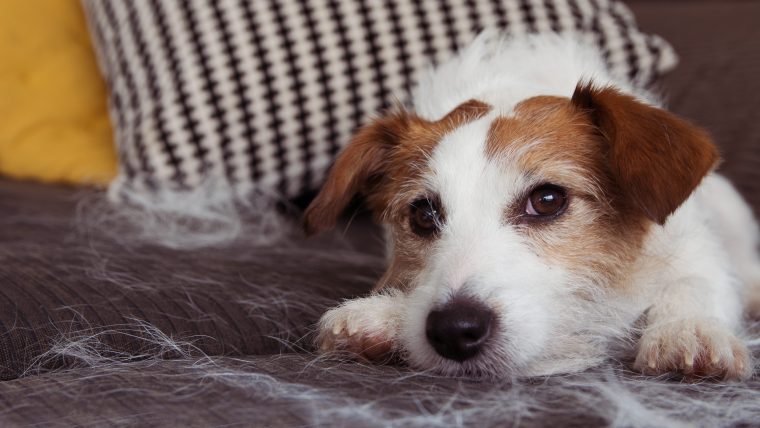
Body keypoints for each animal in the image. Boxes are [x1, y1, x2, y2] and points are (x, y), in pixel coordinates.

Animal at [302, 34, 760, 382]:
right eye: (423, 214)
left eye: (547, 200)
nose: (453, 330)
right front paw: (384, 316)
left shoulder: (692, 246)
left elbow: (695, 281)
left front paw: (688, 330)